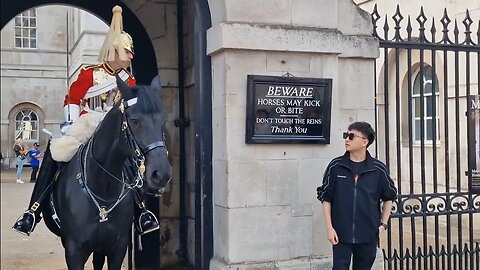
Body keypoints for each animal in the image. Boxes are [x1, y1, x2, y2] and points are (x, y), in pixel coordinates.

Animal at [39, 76, 171, 270]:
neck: (102, 187)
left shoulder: (118, 247)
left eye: (162, 121)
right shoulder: (74, 249)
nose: (161, 173)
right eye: (134, 120)